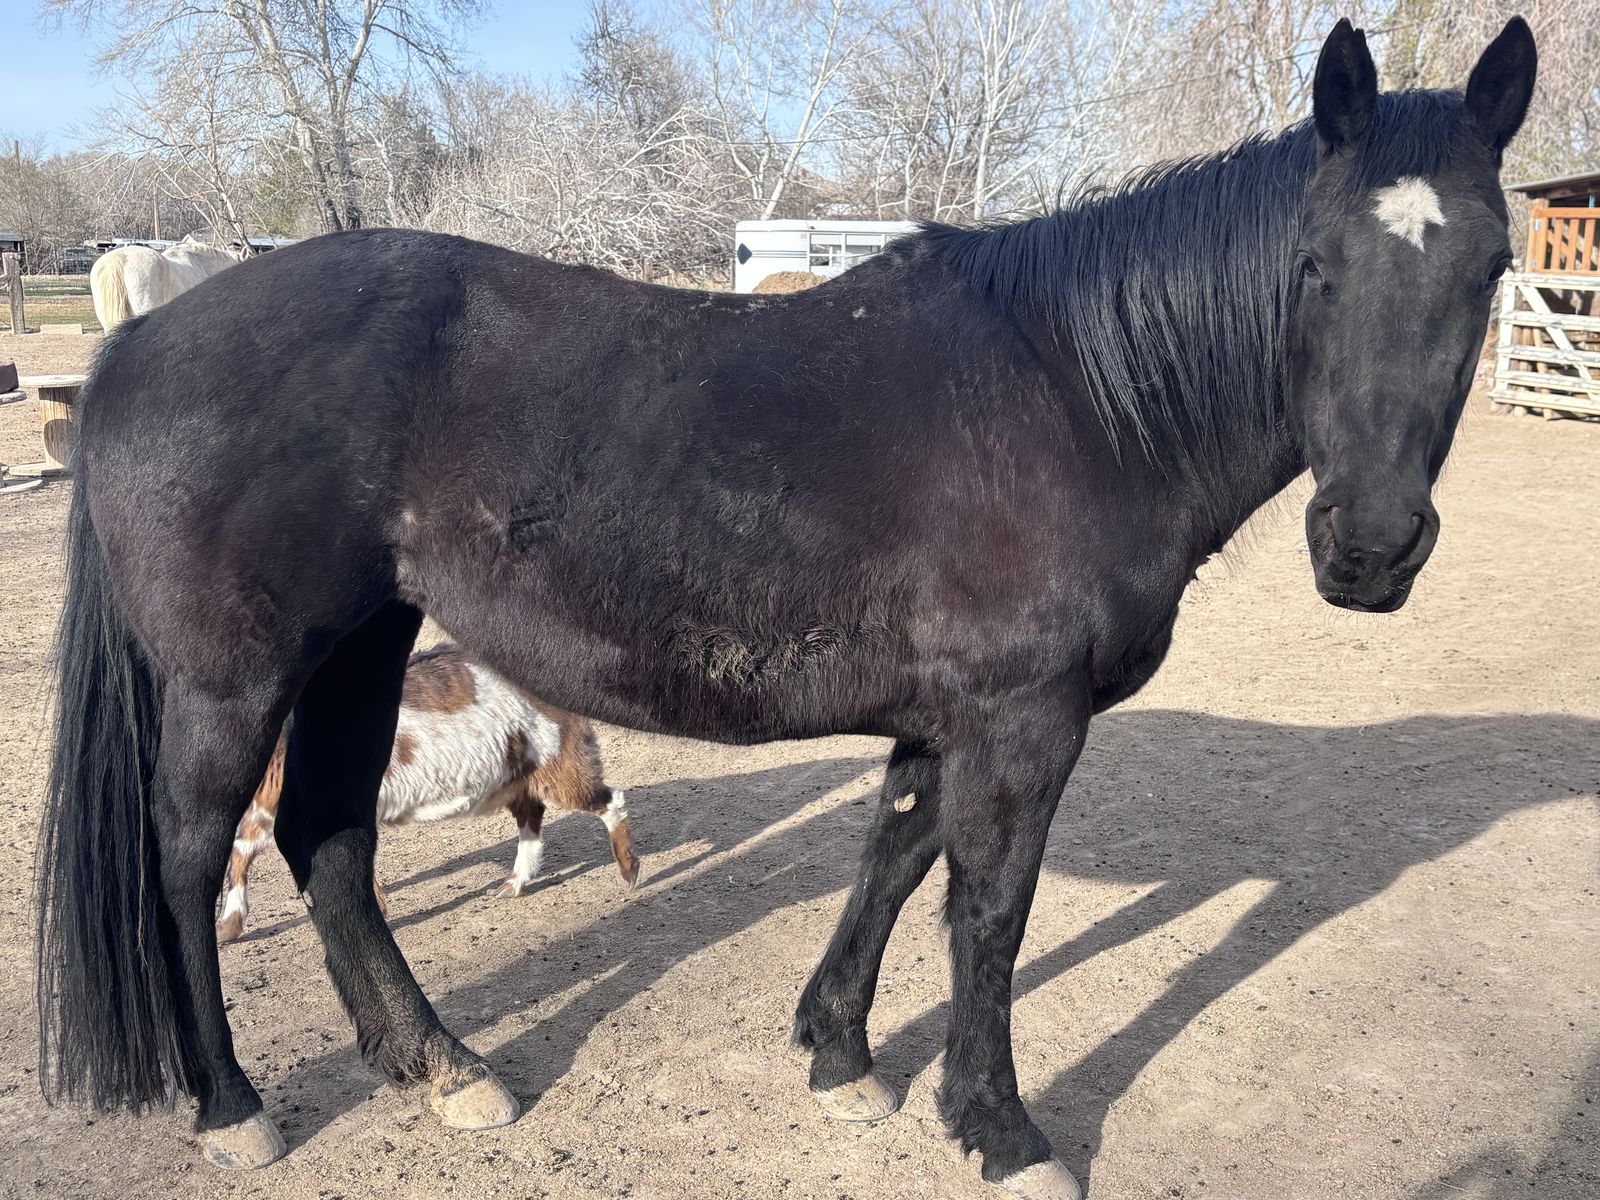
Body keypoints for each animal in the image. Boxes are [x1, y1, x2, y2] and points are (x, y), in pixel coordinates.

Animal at [217, 643, 640, 944]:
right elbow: (240, 851)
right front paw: (228, 927)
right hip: (517, 774)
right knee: (531, 819)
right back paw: (514, 884)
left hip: (557, 756)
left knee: (608, 800)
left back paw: (629, 870)